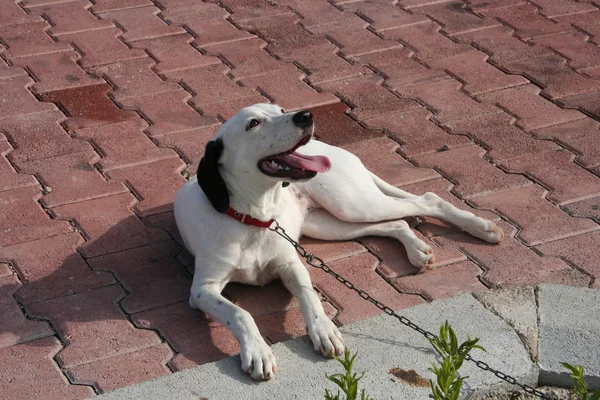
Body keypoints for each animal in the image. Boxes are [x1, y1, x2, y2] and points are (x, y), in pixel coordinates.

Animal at [173, 102, 502, 378]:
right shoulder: (202, 290)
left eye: (280, 109)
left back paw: (482, 227)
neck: (254, 218)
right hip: (330, 223)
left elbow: (309, 297)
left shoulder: (291, 265)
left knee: (427, 199)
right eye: (253, 123)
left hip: (352, 204)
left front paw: (324, 330)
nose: (305, 115)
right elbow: (239, 313)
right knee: (395, 222)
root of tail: (332, 148)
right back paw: (417, 249)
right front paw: (257, 351)